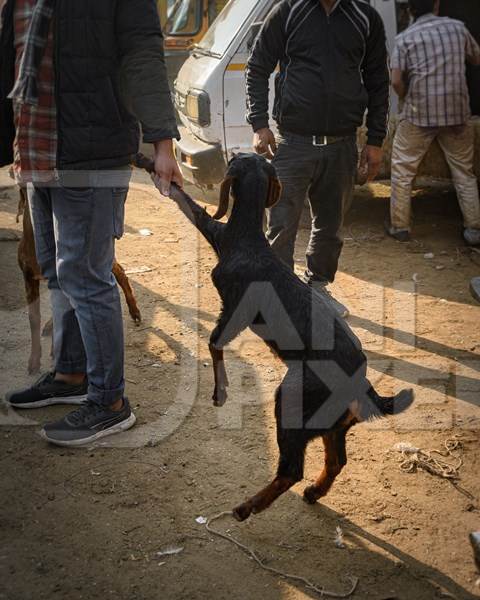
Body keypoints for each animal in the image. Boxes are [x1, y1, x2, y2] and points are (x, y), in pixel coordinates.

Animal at [135, 154, 412, 520]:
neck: (249, 239)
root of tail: (362, 384)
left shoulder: (234, 308)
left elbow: (213, 340)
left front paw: (221, 392)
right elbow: (186, 201)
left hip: (292, 401)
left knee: (291, 469)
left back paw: (248, 506)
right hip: (332, 426)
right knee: (336, 461)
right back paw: (313, 492)